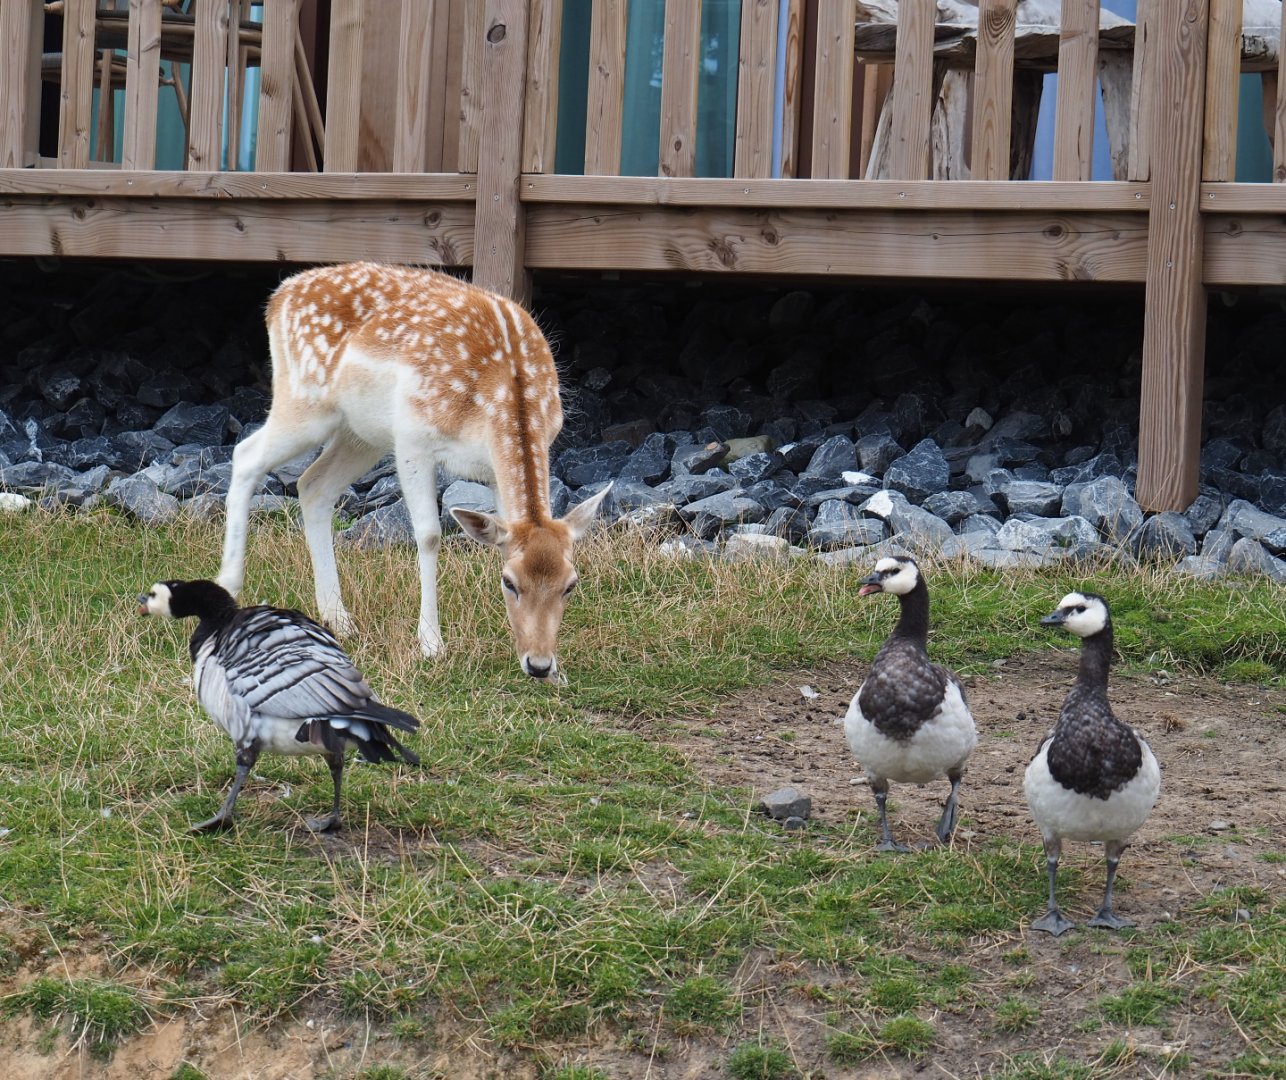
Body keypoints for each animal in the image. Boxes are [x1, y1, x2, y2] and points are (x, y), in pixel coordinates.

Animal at [216, 262, 611, 683]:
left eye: (570, 584)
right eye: (510, 582)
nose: (538, 664)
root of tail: (277, 299)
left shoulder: (498, 465)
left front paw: (553, 671)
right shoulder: (413, 437)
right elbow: (429, 535)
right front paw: (431, 644)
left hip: (361, 433)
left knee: (312, 485)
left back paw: (338, 618)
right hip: (304, 401)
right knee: (245, 454)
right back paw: (229, 587)